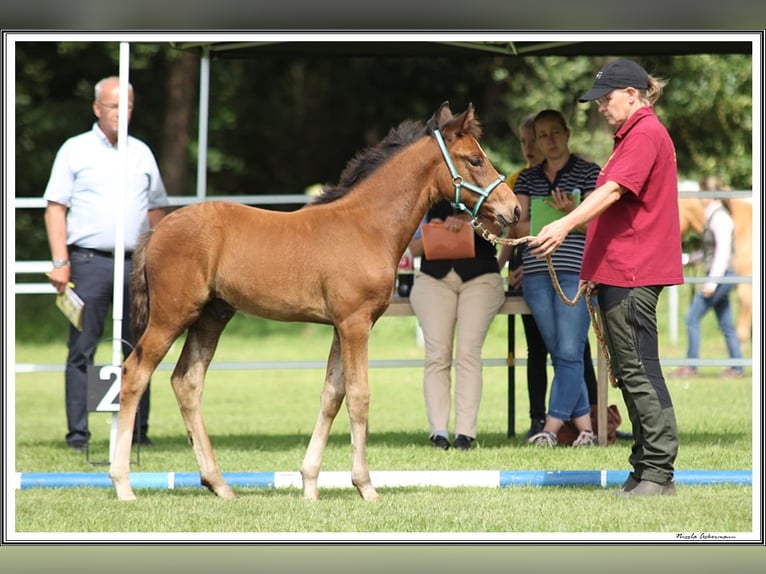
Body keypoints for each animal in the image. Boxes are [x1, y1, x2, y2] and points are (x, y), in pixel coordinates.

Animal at [111, 103, 524, 504]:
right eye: (474, 159)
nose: (514, 210)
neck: (367, 226)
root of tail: (158, 229)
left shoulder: (342, 327)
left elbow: (331, 395)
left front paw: (310, 484)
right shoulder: (355, 324)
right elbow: (359, 396)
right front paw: (365, 486)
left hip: (212, 316)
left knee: (187, 382)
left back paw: (219, 484)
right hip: (172, 315)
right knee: (134, 374)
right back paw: (123, 484)